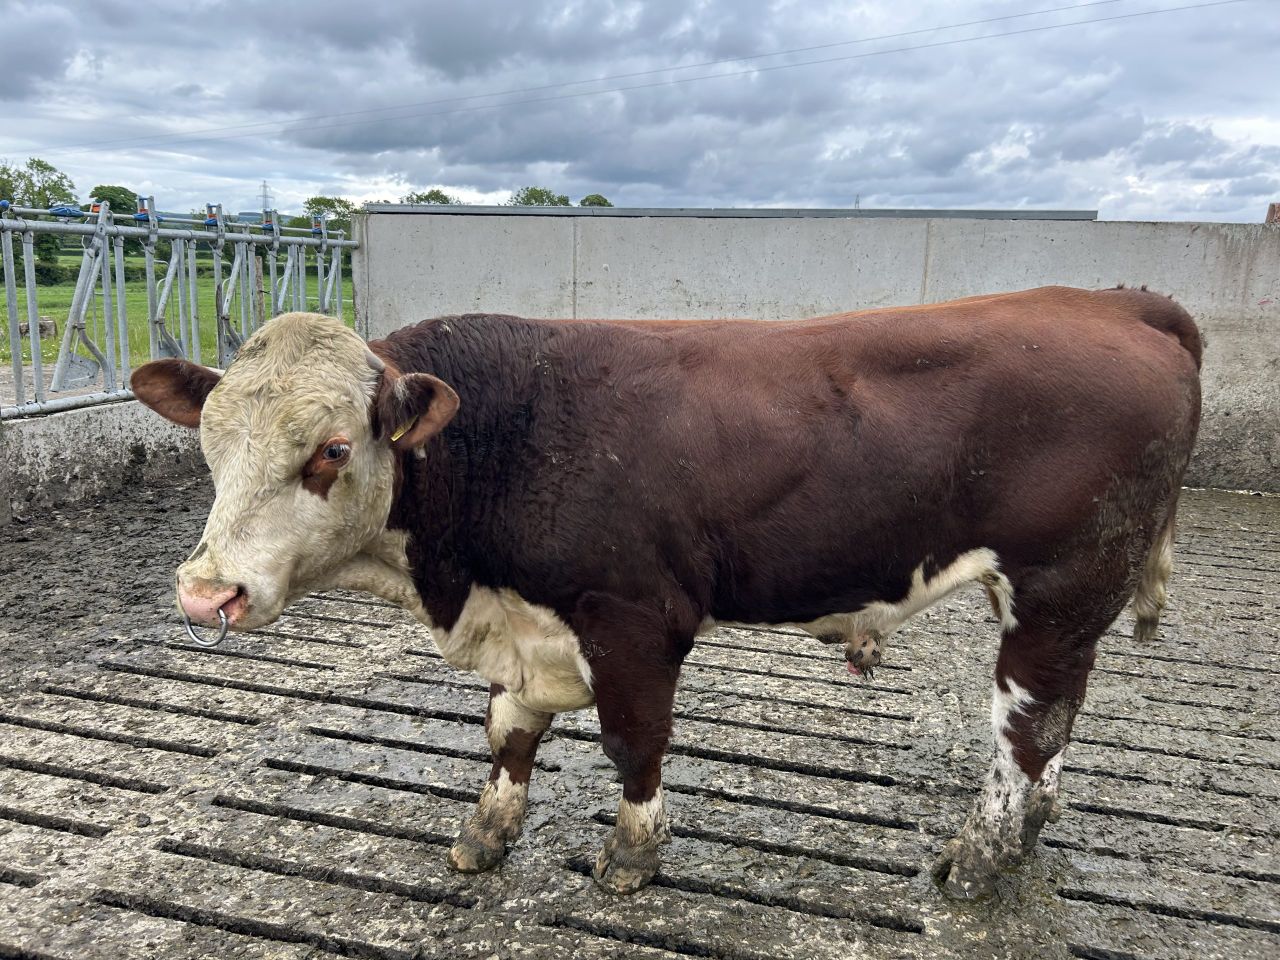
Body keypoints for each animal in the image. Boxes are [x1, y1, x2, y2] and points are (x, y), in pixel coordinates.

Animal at [130, 285, 1202, 900]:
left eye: (331, 449)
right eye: (210, 441)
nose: (207, 594)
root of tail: (1115, 301)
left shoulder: (635, 619)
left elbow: (632, 742)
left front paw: (633, 855)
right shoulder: (525, 627)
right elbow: (508, 733)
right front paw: (486, 833)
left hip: (1060, 587)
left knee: (1028, 728)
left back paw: (978, 858)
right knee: (1056, 719)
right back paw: (1028, 830)